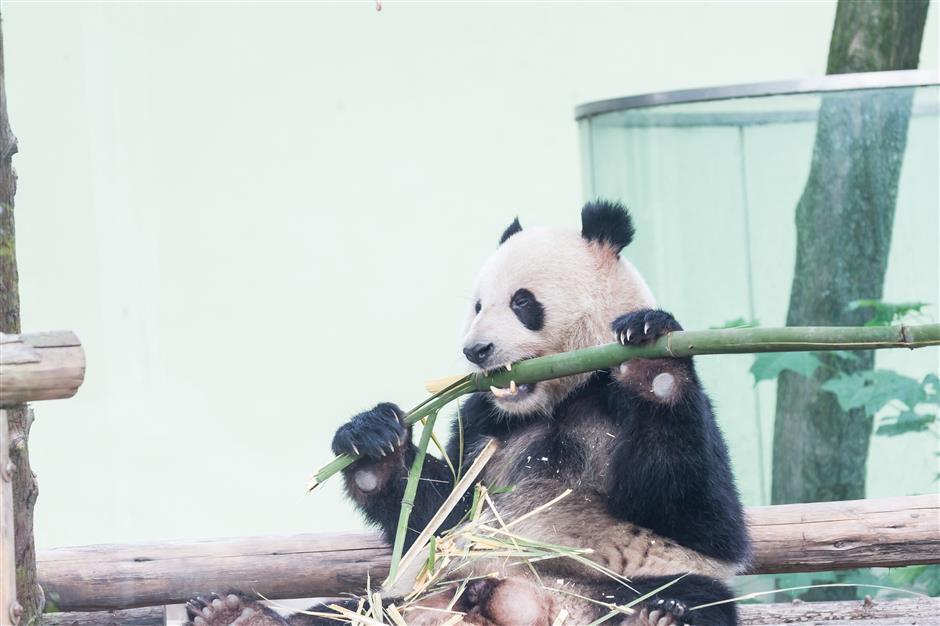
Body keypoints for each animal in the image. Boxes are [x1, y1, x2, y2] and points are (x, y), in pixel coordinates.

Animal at [187, 200, 752, 624]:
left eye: (522, 302)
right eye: (477, 305)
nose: (475, 351)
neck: (559, 397)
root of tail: (526, 604)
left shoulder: (614, 403)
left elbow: (701, 516)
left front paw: (652, 356)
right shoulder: (484, 420)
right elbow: (435, 513)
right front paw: (373, 443)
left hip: (626, 582)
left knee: (692, 598)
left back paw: (657, 615)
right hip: (416, 593)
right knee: (343, 611)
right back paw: (235, 613)